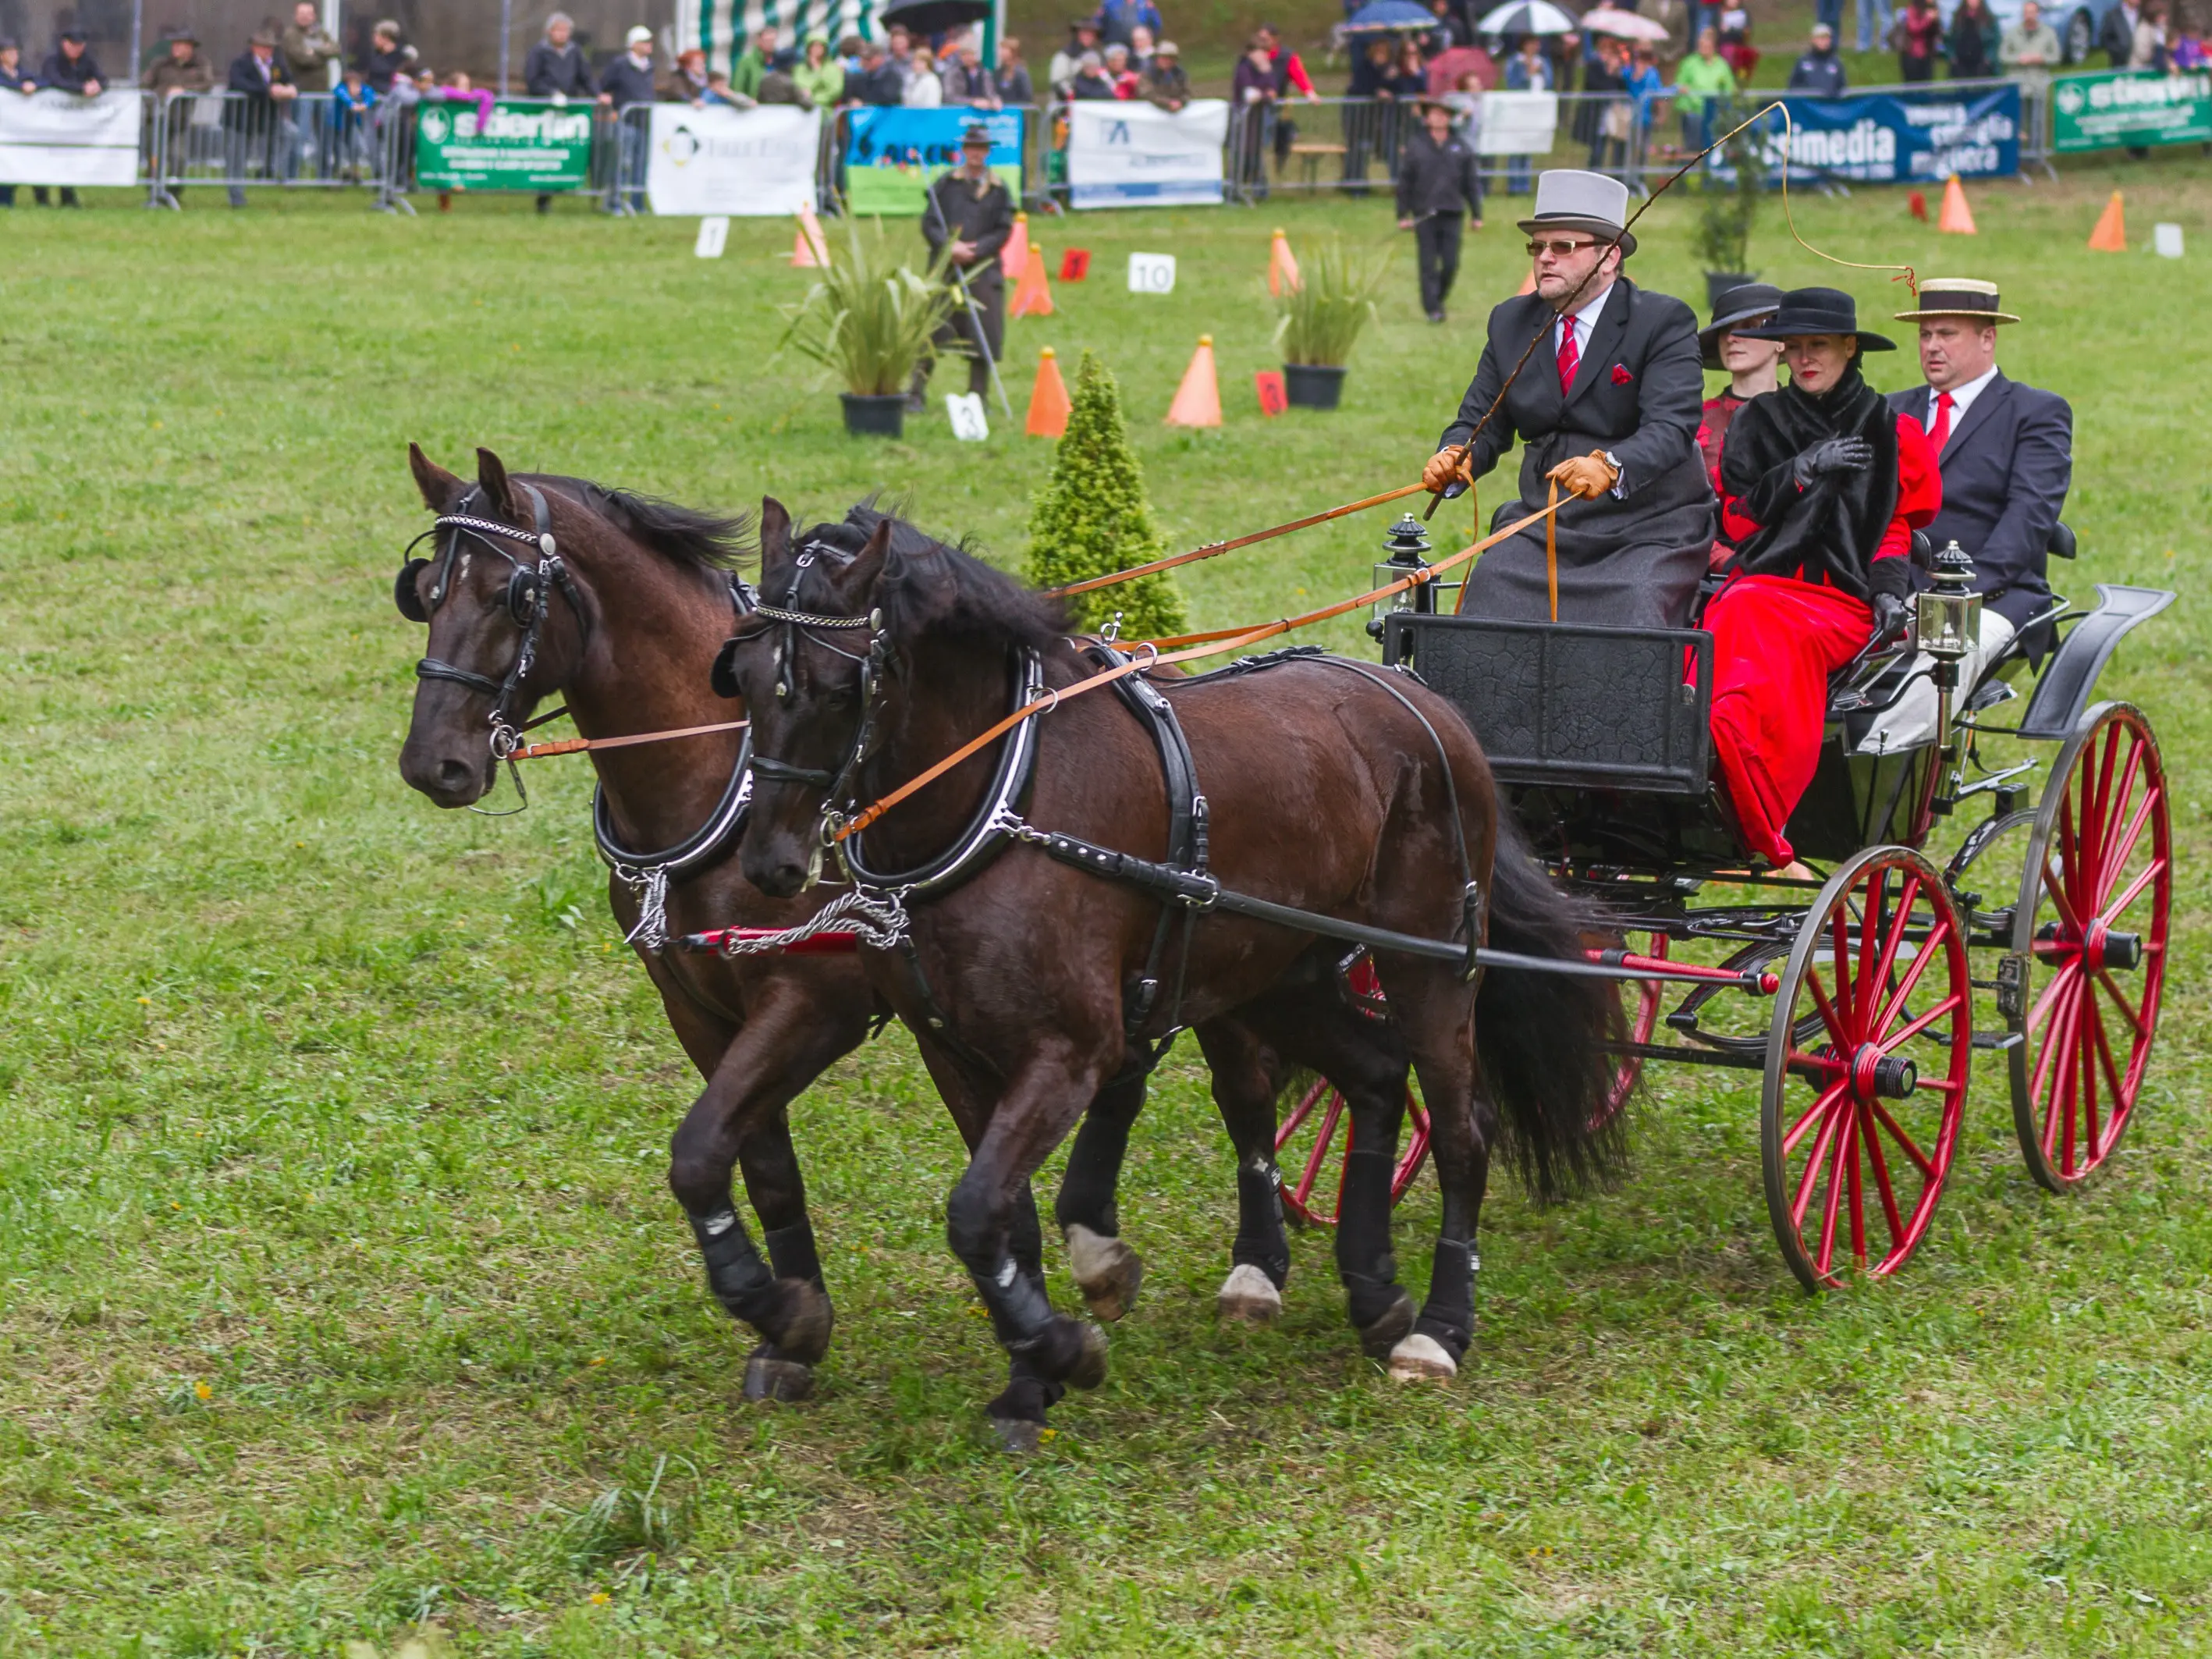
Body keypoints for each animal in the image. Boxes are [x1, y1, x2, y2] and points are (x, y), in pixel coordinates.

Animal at [718, 501, 1627, 1443]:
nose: (771, 861)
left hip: (1429, 962)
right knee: (1375, 1077)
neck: (1005, 801)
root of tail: (1425, 702)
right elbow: (1003, 1218)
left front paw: (1066, 1350)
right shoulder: (953, 1050)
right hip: (1284, 971)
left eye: (839, 686)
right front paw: (1030, 1379)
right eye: (739, 675)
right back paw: (1373, 1287)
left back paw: (1441, 1329)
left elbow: (975, 1213)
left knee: (1460, 1125)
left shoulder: (1073, 1049)